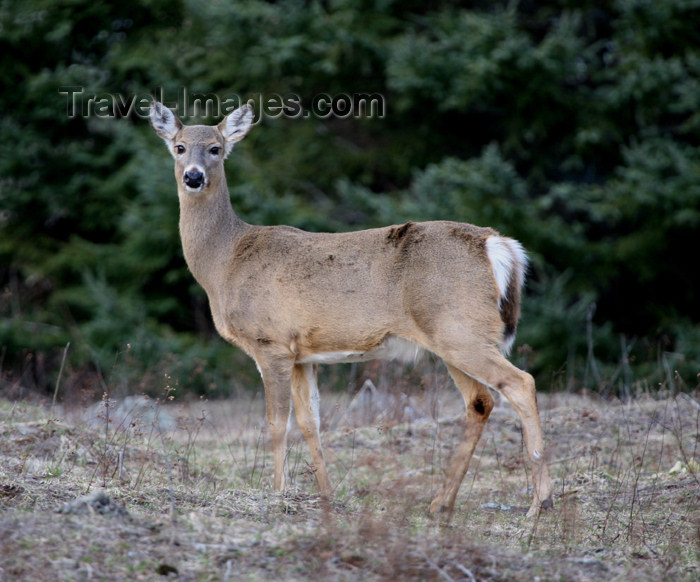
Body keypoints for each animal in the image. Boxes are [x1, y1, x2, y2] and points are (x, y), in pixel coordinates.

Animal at [150, 102, 556, 516]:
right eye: (179, 147)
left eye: (215, 148)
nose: (194, 176)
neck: (225, 263)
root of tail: (498, 245)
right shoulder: (302, 354)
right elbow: (310, 420)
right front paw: (326, 494)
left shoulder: (270, 342)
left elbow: (277, 422)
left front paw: (277, 493)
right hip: (453, 336)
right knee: (480, 402)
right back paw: (441, 503)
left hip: (460, 329)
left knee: (521, 383)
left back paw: (539, 502)